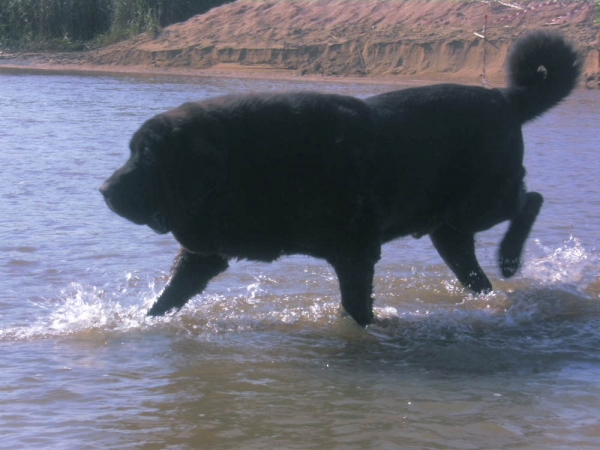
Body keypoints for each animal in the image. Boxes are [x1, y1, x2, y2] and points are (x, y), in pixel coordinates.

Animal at [101, 32, 580, 326]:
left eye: (147, 156)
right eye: (133, 151)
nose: (104, 190)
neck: (245, 163)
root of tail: (504, 98)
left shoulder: (354, 252)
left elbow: (356, 307)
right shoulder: (204, 256)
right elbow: (165, 301)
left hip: (480, 203)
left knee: (531, 200)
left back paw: (511, 258)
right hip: (450, 230)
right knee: (476, 271)